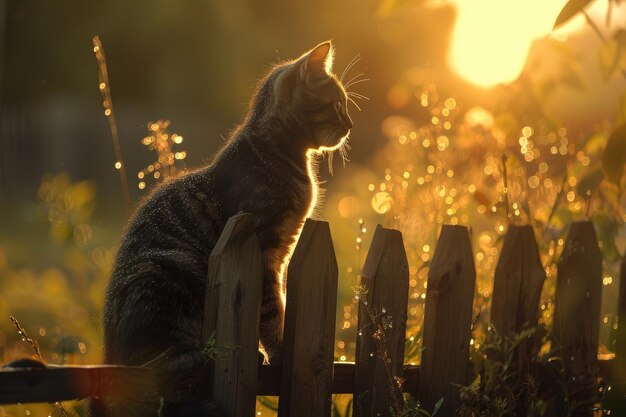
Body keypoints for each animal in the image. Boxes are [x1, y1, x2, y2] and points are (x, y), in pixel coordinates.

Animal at [95, 40, 354, 414]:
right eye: (337, 104)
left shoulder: (282, 252)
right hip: (164, 269)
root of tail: (110, 356)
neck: (282, 152)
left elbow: (278, 303)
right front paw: (279, 352)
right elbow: (271, 309)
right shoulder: (266, 248)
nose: (350, 124)